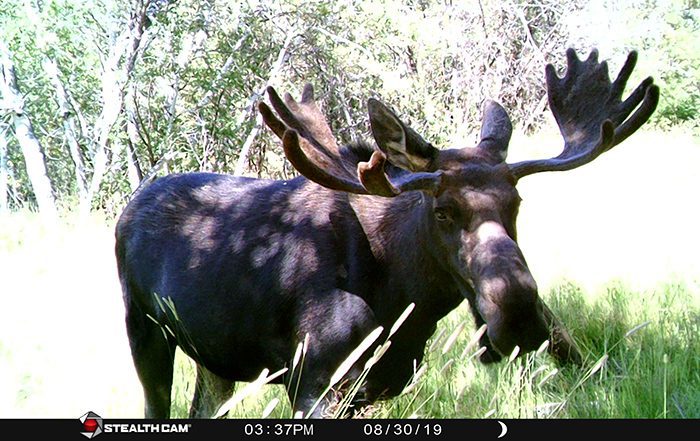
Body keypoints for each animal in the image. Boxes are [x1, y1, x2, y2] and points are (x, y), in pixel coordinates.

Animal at [115, 48, 658, 418]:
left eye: (517, 204)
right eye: (443, 211)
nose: (522, 316)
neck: (406, 300)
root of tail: (130, 206)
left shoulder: (376, 385)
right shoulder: (314, 380)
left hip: (217, 359)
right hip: (145, 331)